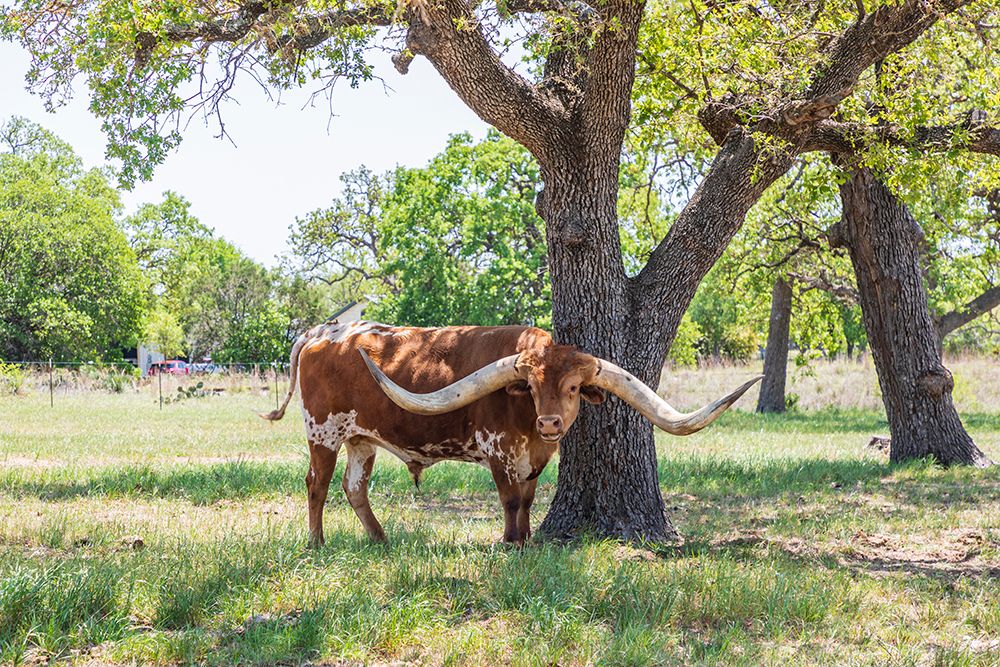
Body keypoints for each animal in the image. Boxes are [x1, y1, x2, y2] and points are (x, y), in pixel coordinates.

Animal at [262, 320, 761, 546]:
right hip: (323, 432)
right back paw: (317, 542)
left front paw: (525, 539)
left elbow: (528, 499)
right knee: (317, 485)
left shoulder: (535, 459)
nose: (550, 423)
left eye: (574, 388)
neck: (528, 427)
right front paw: (509, 542)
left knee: (354, 487)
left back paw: (380, 540)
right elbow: (508, 499)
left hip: (361, 439)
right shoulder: (498, 452)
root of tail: (322, 332)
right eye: (533, 388)